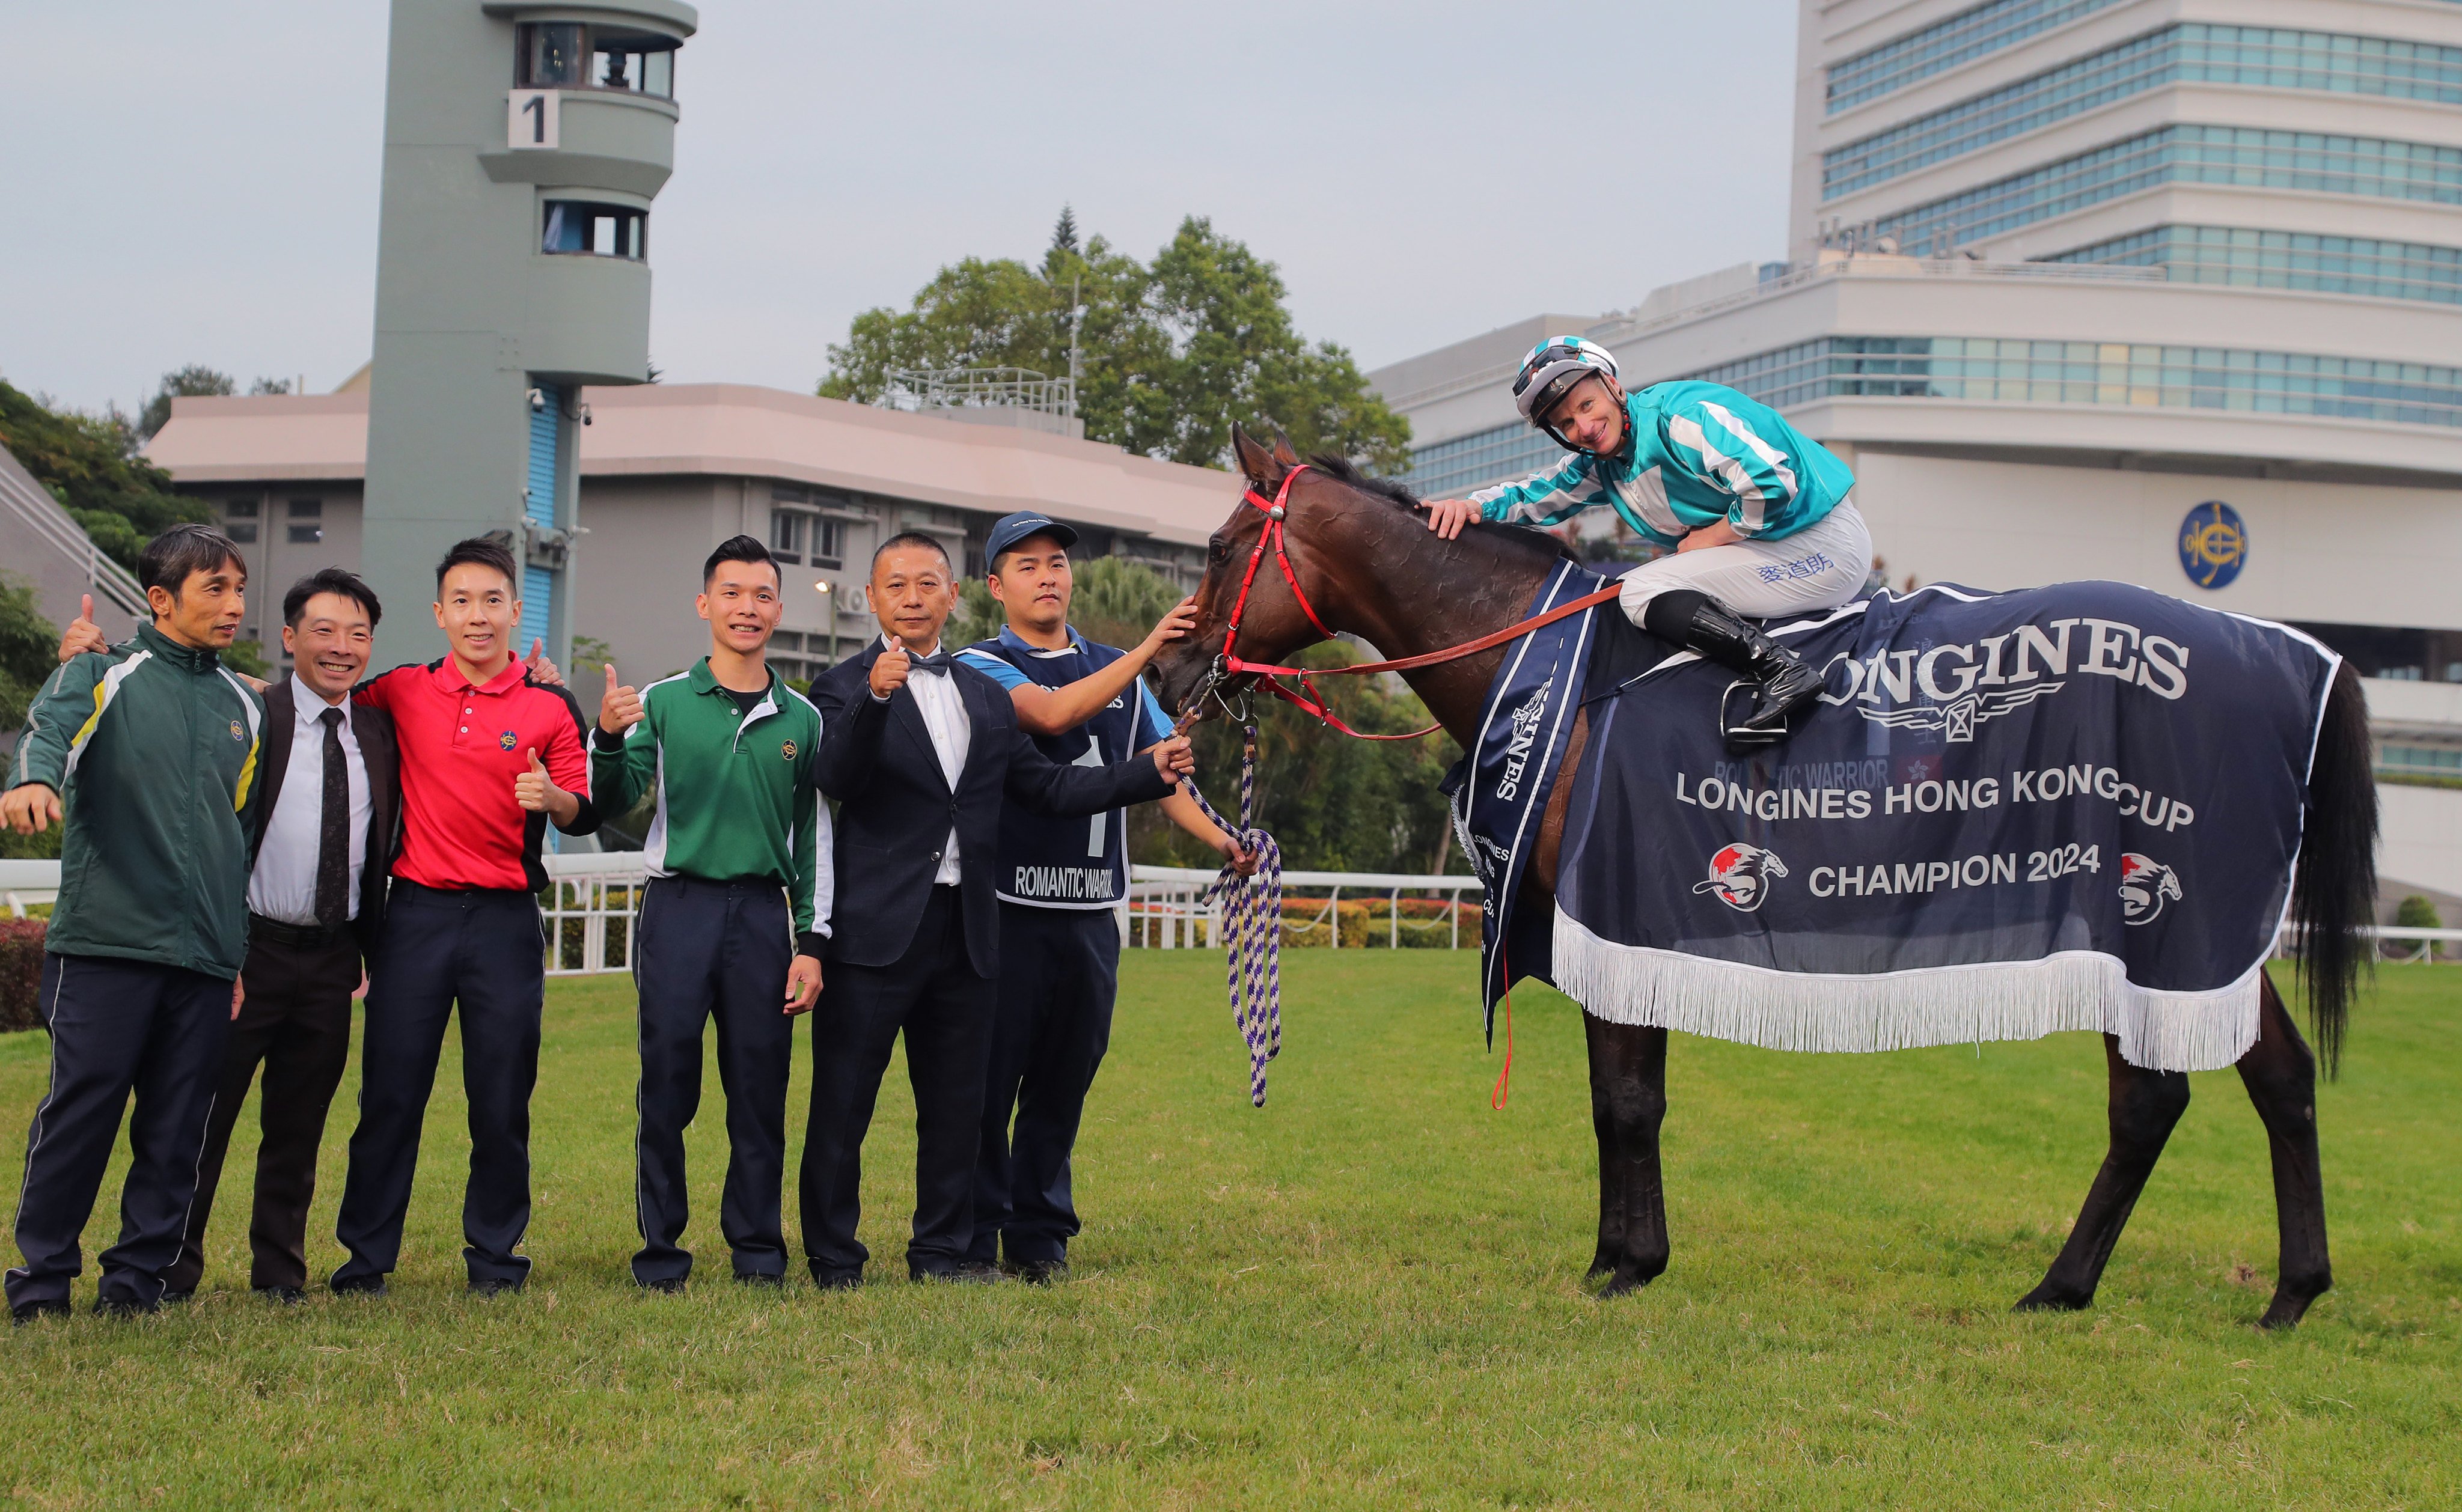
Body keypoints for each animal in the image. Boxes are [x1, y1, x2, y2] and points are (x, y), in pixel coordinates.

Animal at [1142, 423, 2373, 1329]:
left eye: (1219, 544)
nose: (1169, 665)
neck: (1566, 684)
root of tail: (2297, 652)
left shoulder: (1619, 902)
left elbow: (1628, 1100)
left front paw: (1629, 1264)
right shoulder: (1612, 924)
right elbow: (1614, 1099)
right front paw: (1616, 1253)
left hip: (2154, 914)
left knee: (2170, 1093)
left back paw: (2098, 1285)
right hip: (2195, 928)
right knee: (2260, 1079)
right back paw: (2262, 1291)